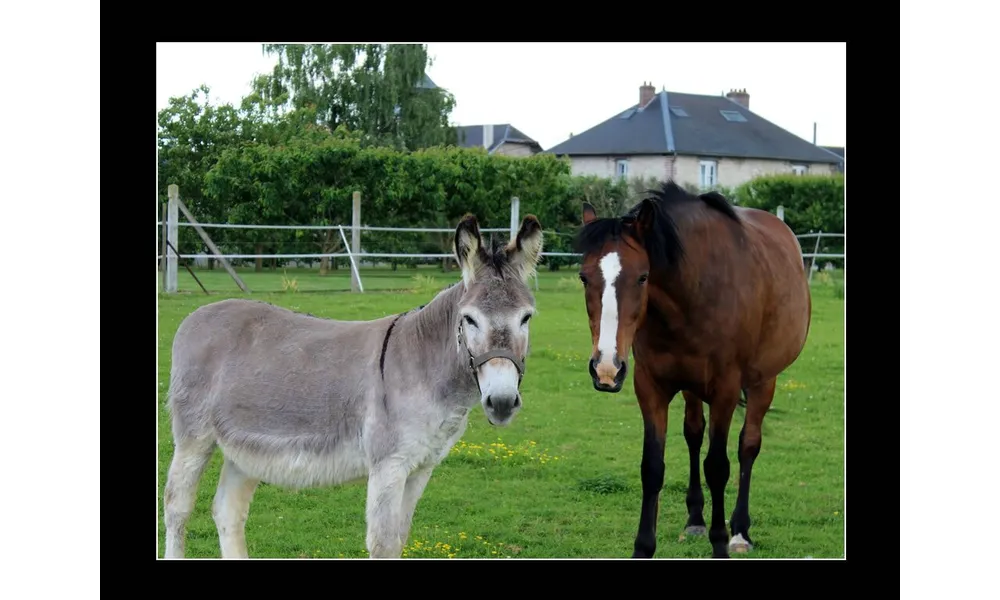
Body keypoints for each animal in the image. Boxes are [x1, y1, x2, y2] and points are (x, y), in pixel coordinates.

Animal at [580, 179, 812, 556]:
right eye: (584, 277)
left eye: (643, 277)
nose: (606, 368)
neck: (695, 291)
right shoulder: (650, 388)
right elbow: (652, 467)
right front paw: (644, 546)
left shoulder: (726, 390)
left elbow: (717, 466)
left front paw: (721, 541)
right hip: (690, 387)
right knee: (693, 433)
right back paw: (695, 520)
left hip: (764, 381)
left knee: (748, 445)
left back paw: (740, 531)